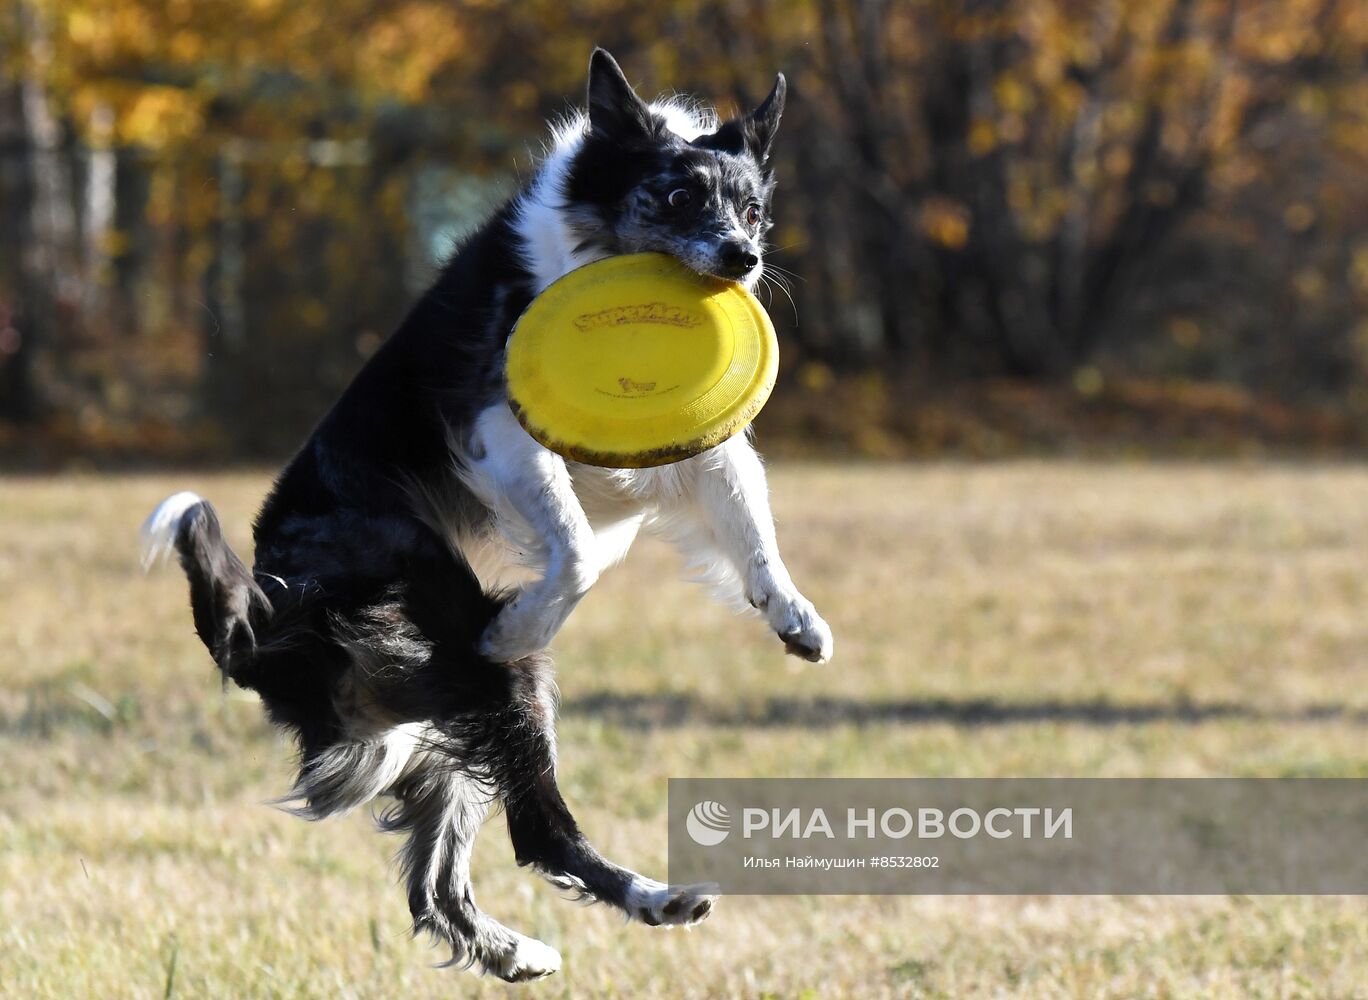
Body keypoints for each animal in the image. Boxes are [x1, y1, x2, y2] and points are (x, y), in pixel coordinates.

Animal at [147, 50, 831, 979]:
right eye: (677, 197)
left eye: (754, 208)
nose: (743, 256)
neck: (594, 238)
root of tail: (265, 622)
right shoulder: (496, 420)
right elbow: (574, 549)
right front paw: (522, 617)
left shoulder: (700, 445)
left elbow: (749, 526)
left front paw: (794, 616)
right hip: (479, 671)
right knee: (538, 830)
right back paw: (650, 896)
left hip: (438, 726)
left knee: (438, 881)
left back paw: (522, 948)